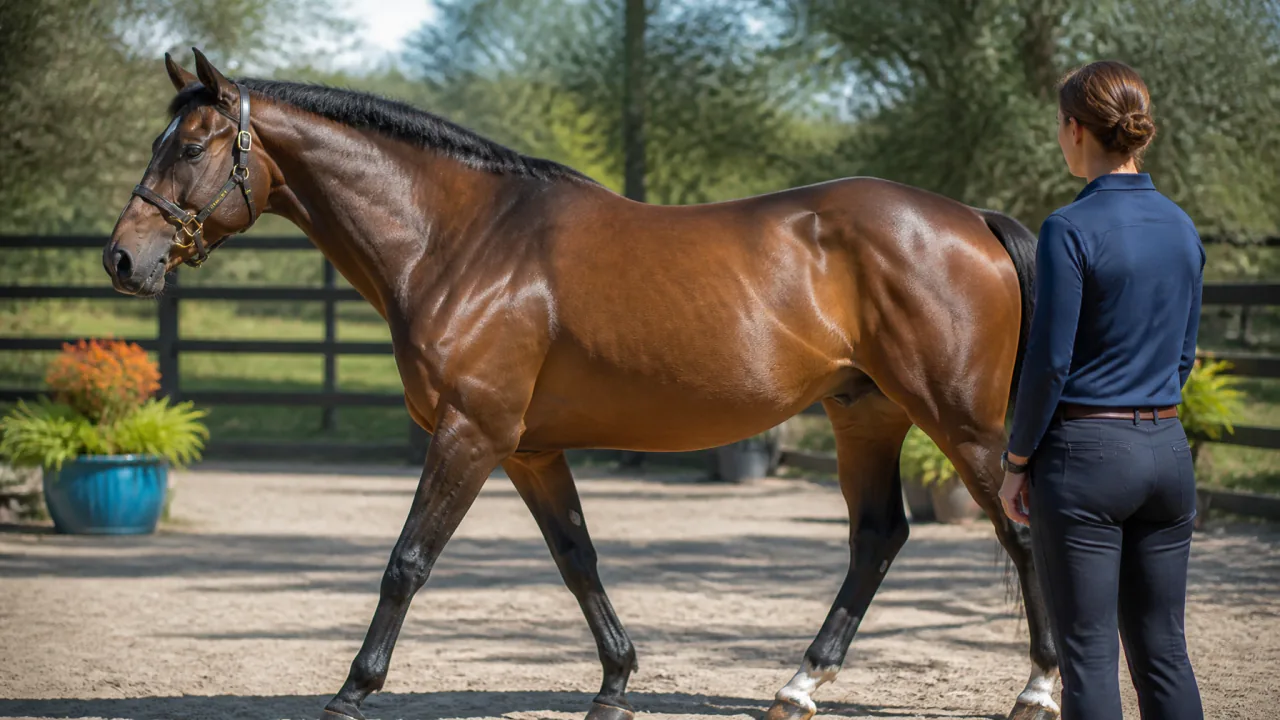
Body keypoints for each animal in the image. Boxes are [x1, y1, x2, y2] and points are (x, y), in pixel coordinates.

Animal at [106, 48, 1059, 720]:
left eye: (190, 146)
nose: (122, 258)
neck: (465, 240)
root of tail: (972, 219)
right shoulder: (530, 451)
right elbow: (577, 559)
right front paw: (615, 683)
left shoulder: (470, 434)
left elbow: (407, 562)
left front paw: (353, 689)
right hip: (867, 414)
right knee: (876, 539)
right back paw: (797, 687)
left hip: (963, 422)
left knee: (1018, 533)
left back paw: (1038, 689)